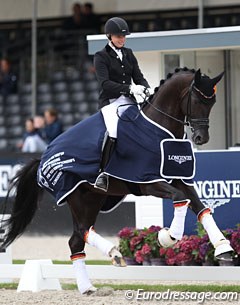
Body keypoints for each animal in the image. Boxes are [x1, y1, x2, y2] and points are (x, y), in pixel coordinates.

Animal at [0, 67, 232, 294]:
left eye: (212, 102)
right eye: (197, 100)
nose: (202, 138)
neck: (159, 130)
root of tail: (43, 157)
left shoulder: (179, 179)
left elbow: (201, 208)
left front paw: (224, 247)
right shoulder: (148, 182)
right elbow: (180, 198)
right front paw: (168, 237)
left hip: (93, 199)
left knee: (77, 239)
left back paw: (88, 286)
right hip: (76, 196)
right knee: (82, 231)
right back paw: (113, 253)